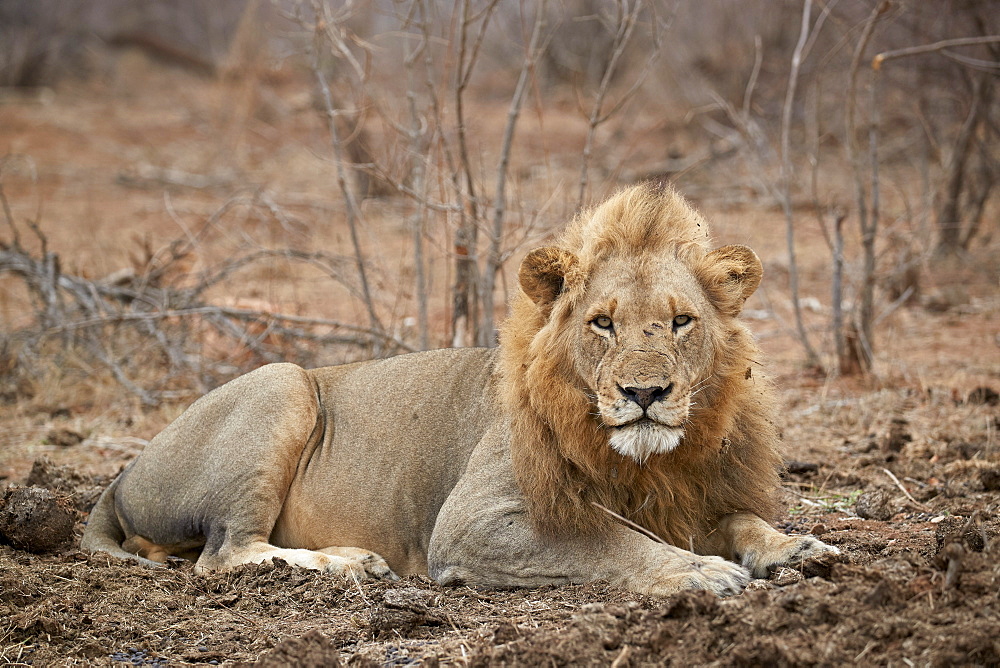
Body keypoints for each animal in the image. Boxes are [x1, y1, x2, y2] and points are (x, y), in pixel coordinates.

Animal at [84, 181, 836, 596]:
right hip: (284, 384)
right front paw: (698, 572)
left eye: (681, 322)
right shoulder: (472, 522)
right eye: (602, 323)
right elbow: (607, 540)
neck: (648, 462)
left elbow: (741, 520)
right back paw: (351, 564)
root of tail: (120, 475)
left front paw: (796, 548)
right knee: (224, 554)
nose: (644, 393)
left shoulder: (691, 496)